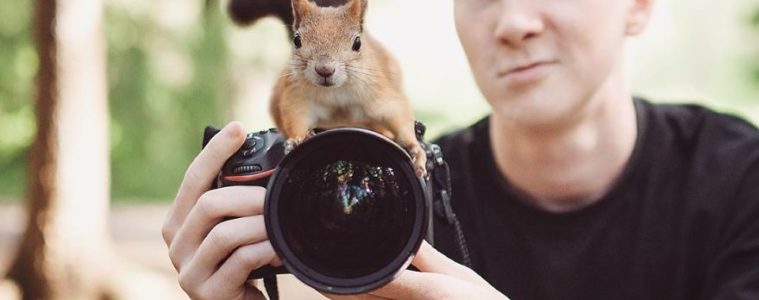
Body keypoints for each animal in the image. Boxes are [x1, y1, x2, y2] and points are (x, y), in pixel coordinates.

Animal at [226, 0, 428, 177]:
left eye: (357, 43)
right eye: (297, 40)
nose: (325, 69)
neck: (335, 91)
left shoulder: (377, 90)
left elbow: (396, 111)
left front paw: (415, 149)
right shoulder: (296, 94)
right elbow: (295, 115)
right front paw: (297, 139)